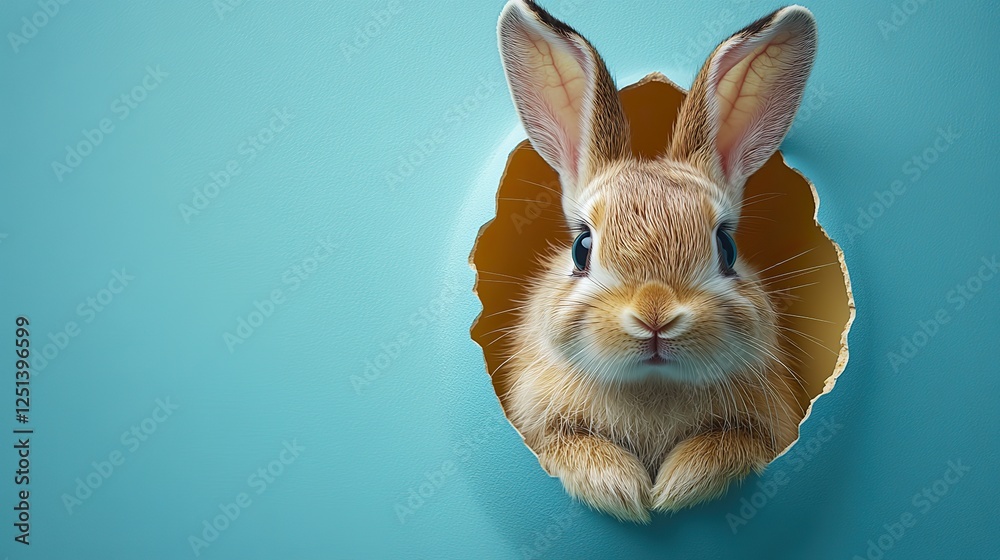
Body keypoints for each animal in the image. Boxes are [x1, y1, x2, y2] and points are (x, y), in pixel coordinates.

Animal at [495, 0, 817, 523]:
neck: (653, 385)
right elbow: (571, 446)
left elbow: (729, 445)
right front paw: (621, 488)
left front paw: (673, 488)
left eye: (726, 247)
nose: (655, 314)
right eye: (582, 247)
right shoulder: (541, 425)